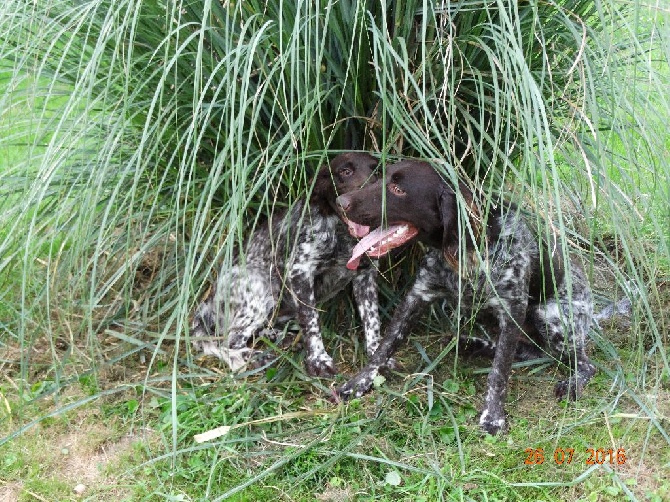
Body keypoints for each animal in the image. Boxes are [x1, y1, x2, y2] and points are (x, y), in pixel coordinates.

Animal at [192, 153, 384, 376]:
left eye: (377, 171)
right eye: (345, 171)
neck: (342, 236)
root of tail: (209, 301)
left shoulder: (366, 275)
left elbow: (372, 319)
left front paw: (377, 355)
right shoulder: (300, 272)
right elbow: (311, 321)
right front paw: (318, 360)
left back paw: (280, 338)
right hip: (263, 287)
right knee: (230, 342)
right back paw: (257, 357)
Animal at [338, 161, 596, 436]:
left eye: (398, 189)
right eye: (379, 177)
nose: (340, 201)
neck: (467, 252)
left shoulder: (513, 309)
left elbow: (499, 372)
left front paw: (493, 417)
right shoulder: (417, 296)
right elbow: (383, 348)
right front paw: (358, 383)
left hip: (551, 316)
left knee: (580, 363)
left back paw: (571, 384)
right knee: (528, 350)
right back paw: (474, 345)